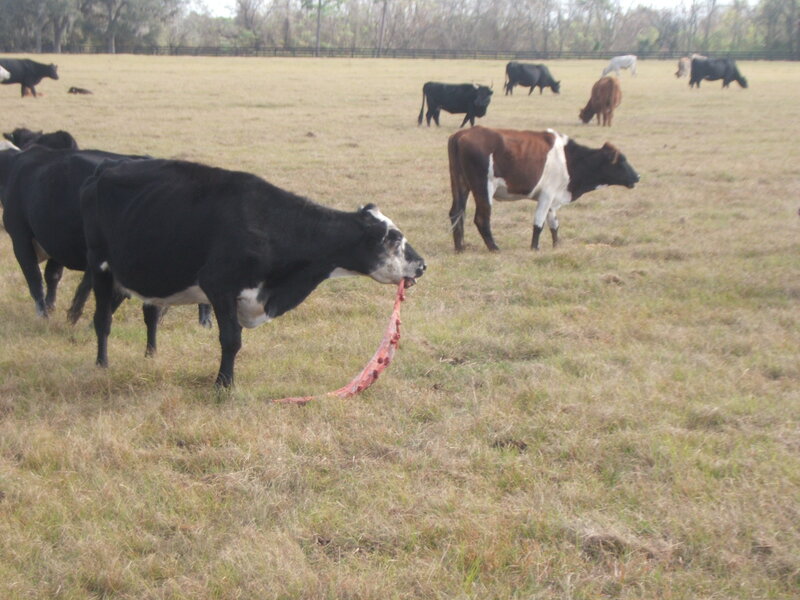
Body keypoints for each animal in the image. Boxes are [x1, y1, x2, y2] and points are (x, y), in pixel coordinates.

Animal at [80, 158, 427, 388]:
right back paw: (101, 364)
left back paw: (149, 356)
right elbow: (231, 340)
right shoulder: (219, 286)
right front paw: (224, 385)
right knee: (102, 319)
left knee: (142, 314)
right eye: (394, 238)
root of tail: (103, 171)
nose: (422, 265)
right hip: (100, 267)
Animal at [447, 126, 639, 252]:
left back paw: (460, 247)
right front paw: (534, 248)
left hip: (460, 184)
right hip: (483, 187)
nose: (637, 177)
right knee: (481, 219)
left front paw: (556, 246)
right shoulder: (547, 195)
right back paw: (494, 247)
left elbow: (554, 224)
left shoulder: (553, 199)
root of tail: (461, 134)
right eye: (621, 161)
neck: (569, 159)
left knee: (456, 213)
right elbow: (538, 223)